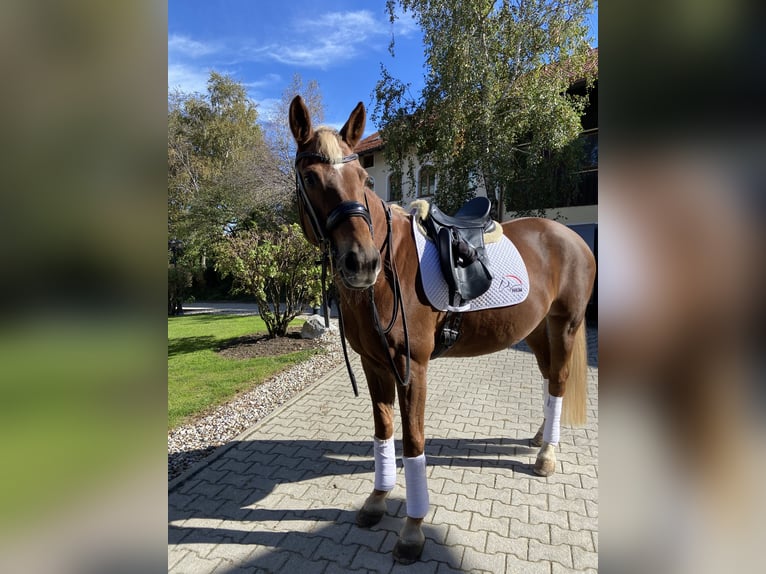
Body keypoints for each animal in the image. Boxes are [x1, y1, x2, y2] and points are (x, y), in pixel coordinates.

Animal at [292, 97, 596, 564]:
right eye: (310, 177)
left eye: (363, 179)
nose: (362, 263)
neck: (389, 269)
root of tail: (571, 236)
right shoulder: (374, 365)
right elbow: (384, 432)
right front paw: (377, 500)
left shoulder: (411, 368)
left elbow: (414, 443)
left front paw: (413, 529)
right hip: (535, 330)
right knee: (549, 380)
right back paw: (542, 437)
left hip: (566, 324)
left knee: (559, 380)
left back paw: (548, 454)